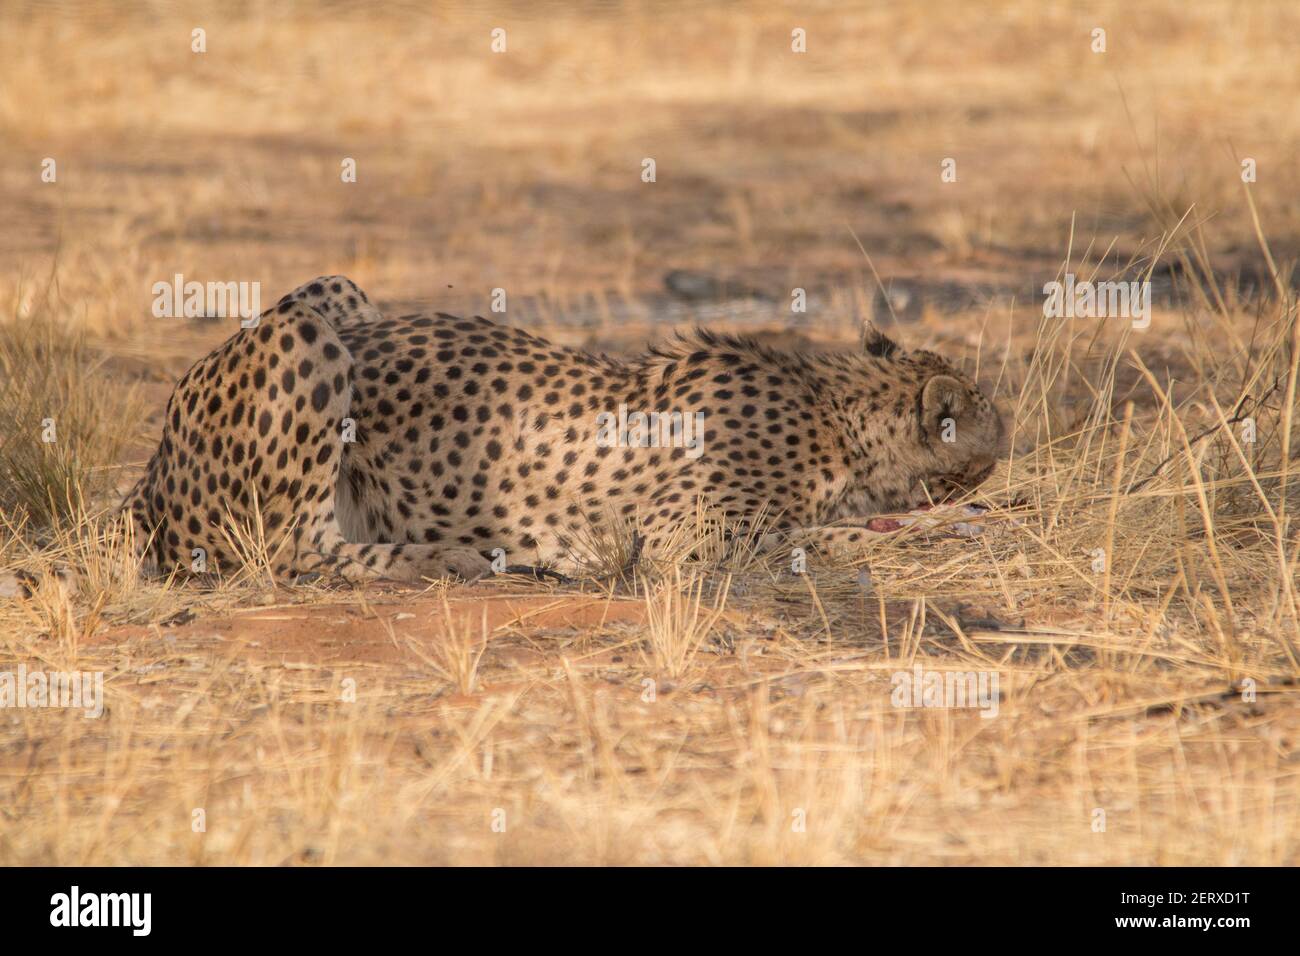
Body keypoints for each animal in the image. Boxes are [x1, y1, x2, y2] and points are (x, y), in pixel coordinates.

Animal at [15, 274, 1003, 590]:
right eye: (983, 411)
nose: (1009, 431)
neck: (839, 405)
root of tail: (150, 471)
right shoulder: (681, 541)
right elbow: (826, 533)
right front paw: (942, 528)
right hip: (304, 341)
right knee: (286, 551)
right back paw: (458, 556)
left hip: (338, 295)